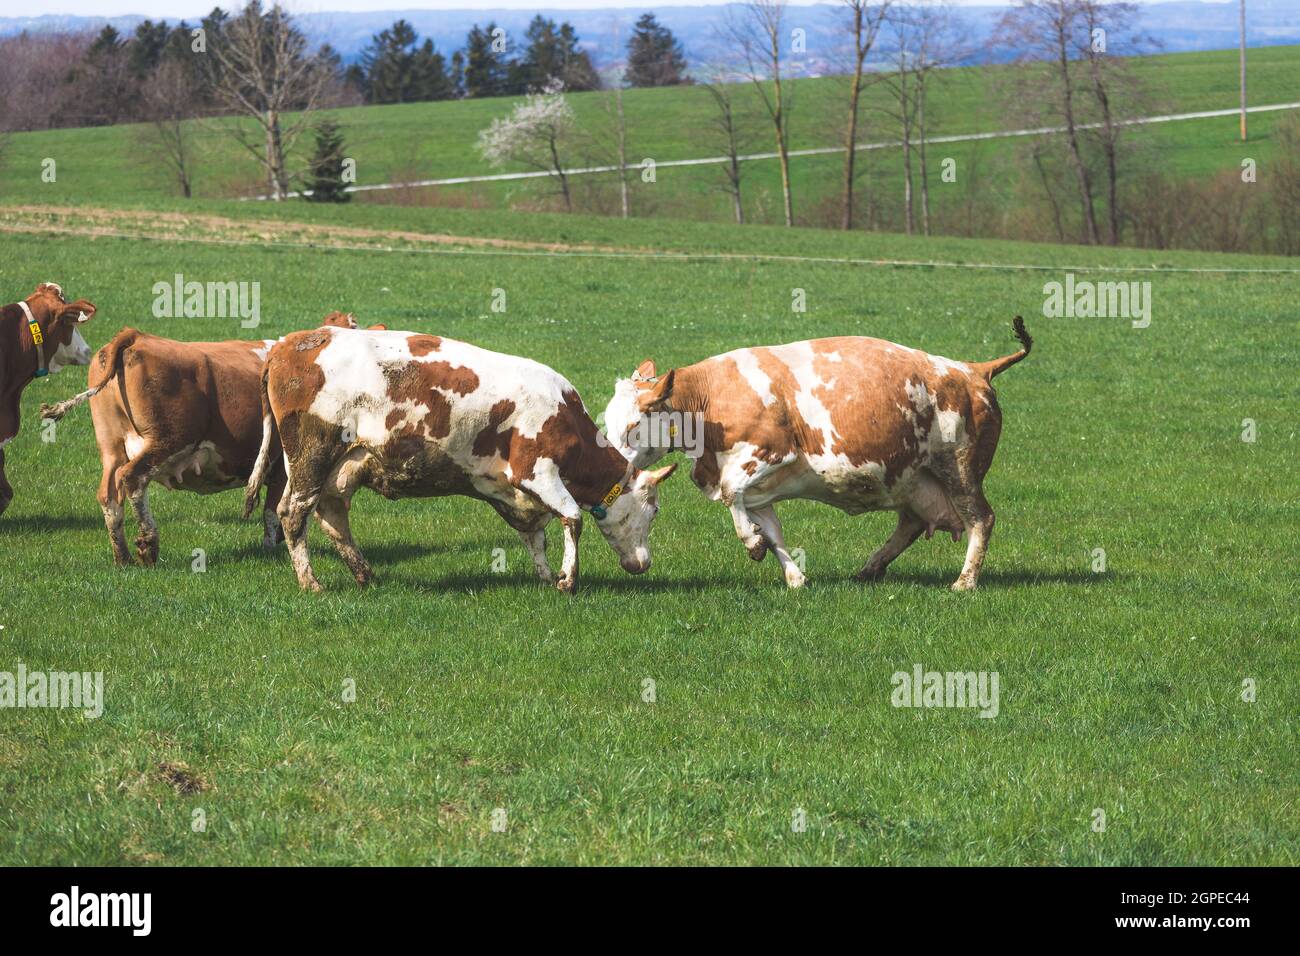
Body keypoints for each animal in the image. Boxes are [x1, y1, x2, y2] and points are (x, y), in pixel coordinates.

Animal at [39, 311, 378, 566]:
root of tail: (136, 336)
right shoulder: (284, 466)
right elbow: (273, 513)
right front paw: (273, 551)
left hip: (111, 447)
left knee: (109, 495)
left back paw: (122, 557)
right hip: (167, 440)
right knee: (133, 479)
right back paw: (148, 545)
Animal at [243, 327, 677, 593]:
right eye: (654, 511)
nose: (643, 564)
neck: (563, 414)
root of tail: (290, 344)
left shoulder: (507, 489)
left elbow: (535, 535)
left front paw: (545, 575)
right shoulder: (537, 472)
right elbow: (572, 518)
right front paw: (568, 580)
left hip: (343, 465)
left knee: (332, 516)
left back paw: (365, 574)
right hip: (312, 454)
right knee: (293, 513)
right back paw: (311, 582)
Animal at [600, 317, 1033, 590]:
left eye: (633, 425)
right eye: (607, 420)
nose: (615, 469)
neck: (709, 399)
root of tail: (972, 369)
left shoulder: (772, 454)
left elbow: (730, 493)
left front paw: (751, 544)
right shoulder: (759, 489)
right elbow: (771, 529)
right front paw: (794, 577)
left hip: (959, 469)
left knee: (981, 519)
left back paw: (965, 581)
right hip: (913, 478)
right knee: (910, 523)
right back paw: (870, 569)